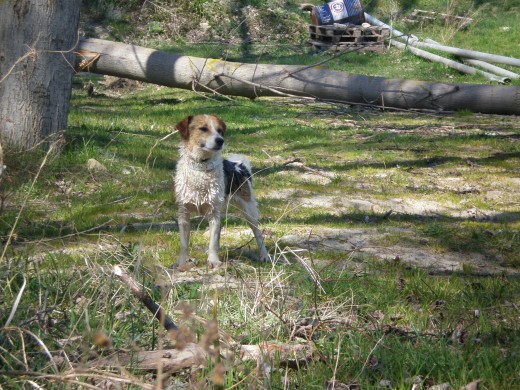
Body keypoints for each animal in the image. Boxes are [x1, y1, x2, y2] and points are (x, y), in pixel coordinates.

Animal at [174, 113, 270, 268]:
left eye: (219, 130)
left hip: (248, 211)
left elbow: (212, 243)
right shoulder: (183, 214)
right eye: (203, 128)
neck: (201, 168)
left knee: (258, 233)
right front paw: (181, 263)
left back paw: (264, 255)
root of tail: (240, 166)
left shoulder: (213, 213)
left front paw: (213, 261)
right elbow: (184, 245)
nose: (220, 140)